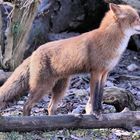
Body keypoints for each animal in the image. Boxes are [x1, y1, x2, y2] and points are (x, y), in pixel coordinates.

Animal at [0, 3, 140, 116]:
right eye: (137, 19)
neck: (109, 42)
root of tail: (35, 51)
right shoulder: (95, 72)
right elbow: (94, 96)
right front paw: (95, 113)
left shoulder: (105, 73)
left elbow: (100, 95)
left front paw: (100, 111)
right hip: (43, 86)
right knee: (26, 106)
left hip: (61, 88)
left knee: (50, 107)